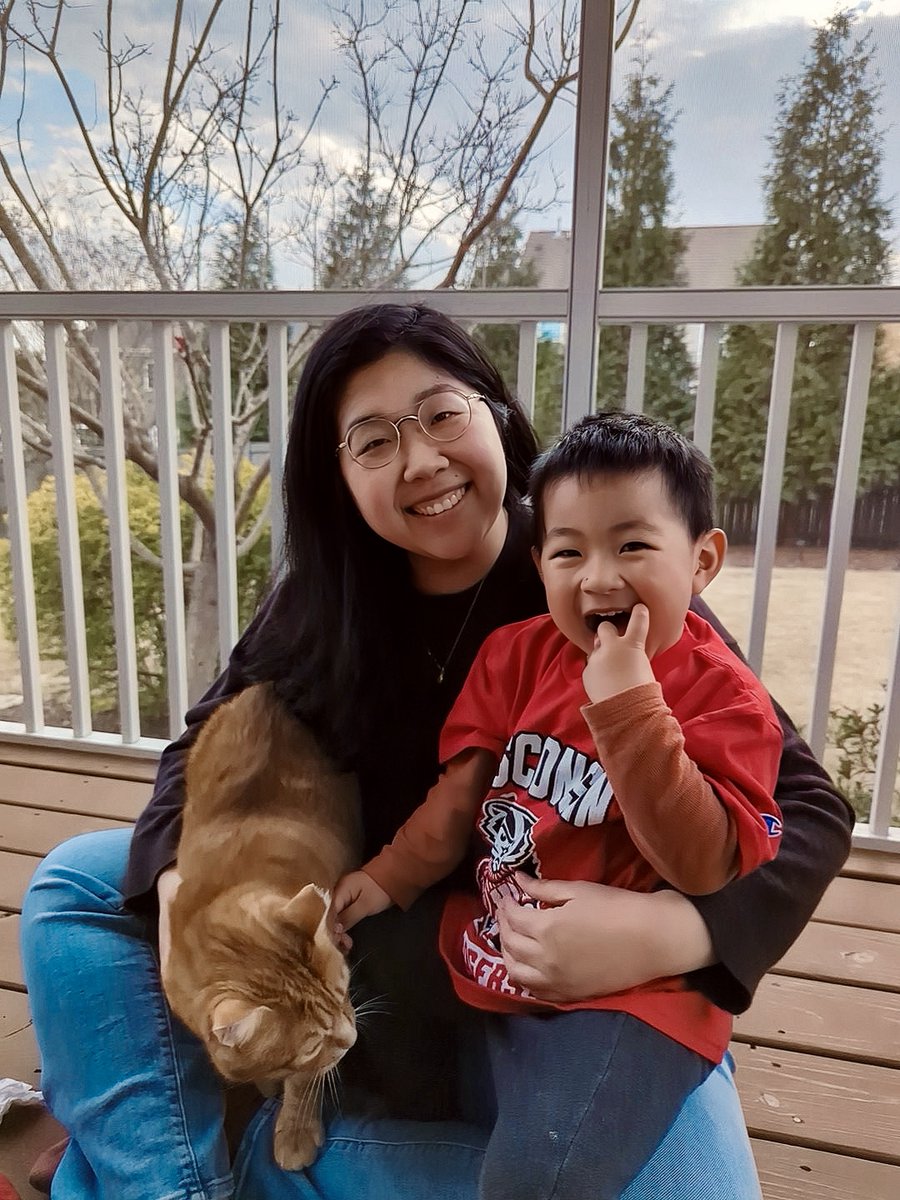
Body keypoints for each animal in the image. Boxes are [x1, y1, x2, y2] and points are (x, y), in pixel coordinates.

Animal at [164, 686, 362, 1171]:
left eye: (345, 991)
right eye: (311, 1043)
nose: (352, 1039)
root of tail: (263, 691)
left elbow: (305, 1081)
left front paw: (295, 1125)